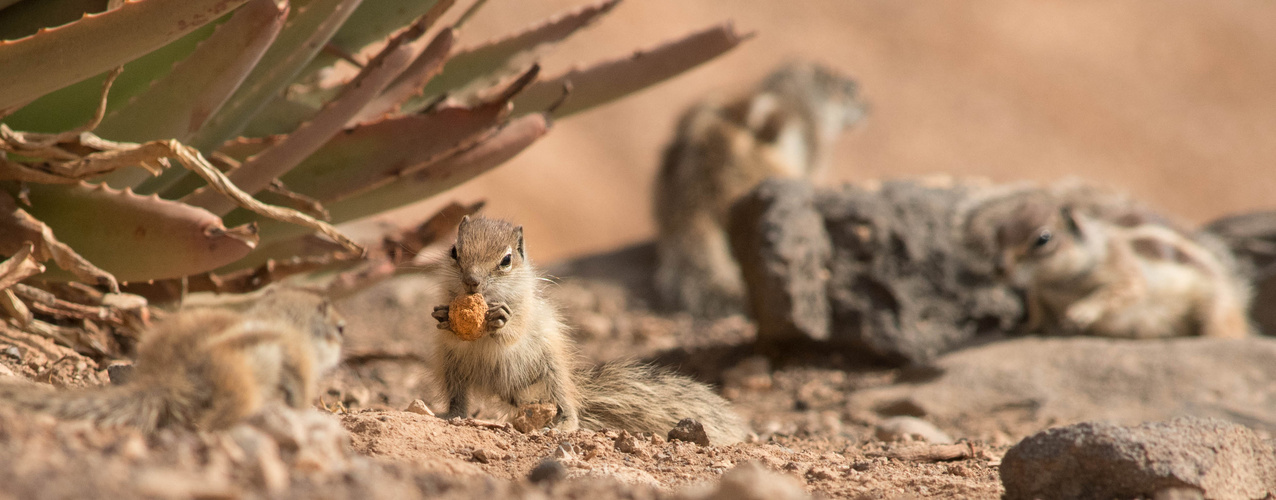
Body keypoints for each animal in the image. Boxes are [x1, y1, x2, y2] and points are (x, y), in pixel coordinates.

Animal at [0, 286, 344, 431]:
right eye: (340, 328)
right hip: (237, 384)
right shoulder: (300, 362)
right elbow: (300, 390)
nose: (343, 347)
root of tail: (165, 378)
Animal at [431, 216, 745, 443]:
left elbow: (515, 329)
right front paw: (443, 316)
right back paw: (450, 415)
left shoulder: (526, 311)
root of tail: (507, 391)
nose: (471, 282)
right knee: (459, 399)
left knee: (568, 405)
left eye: (506, 260)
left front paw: (500, 319)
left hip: (552, 372)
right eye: (454, 251)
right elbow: (448, 328)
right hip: (452, 370)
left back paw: (563, 425)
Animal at [990, 198, 1250, 339]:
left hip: (1216, 308)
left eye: (1043, 239)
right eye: (998, 232)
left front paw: (1082, 312)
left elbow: (1120, 291)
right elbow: (1036, 311)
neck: (1058, 283)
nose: (999, 269)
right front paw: (1022, 327)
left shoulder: (1125, 270)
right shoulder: (1038, 292)